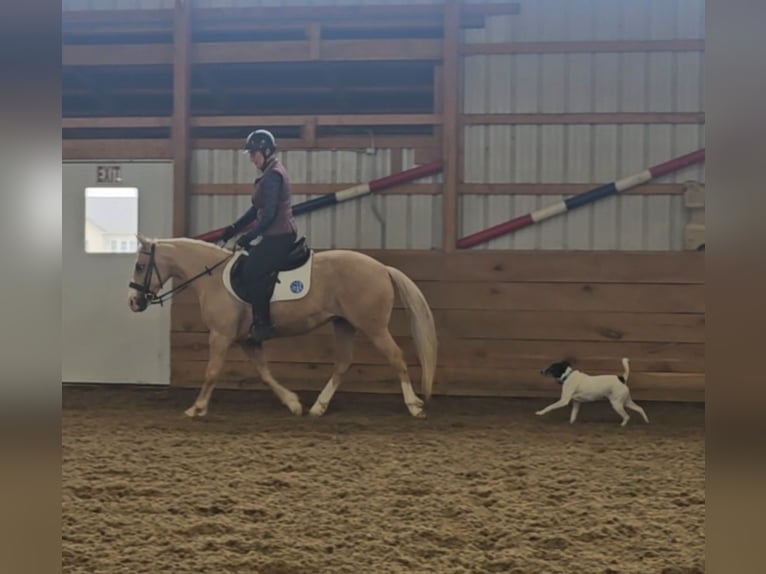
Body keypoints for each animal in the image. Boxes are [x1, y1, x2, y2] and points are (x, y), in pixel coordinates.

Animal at [126, 234, 438, 418]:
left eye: (140, 267)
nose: (133, 301)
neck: (211, 277)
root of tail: (382, 268)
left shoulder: (221, 335)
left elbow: (212, 371)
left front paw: (197, 407)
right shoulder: (247, 339)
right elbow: (264, 373)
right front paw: (293, 403)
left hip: (373, 327)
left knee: (396, 358)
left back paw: (414, 406)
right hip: (344, 324)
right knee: (343, 363)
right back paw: (318, 407)